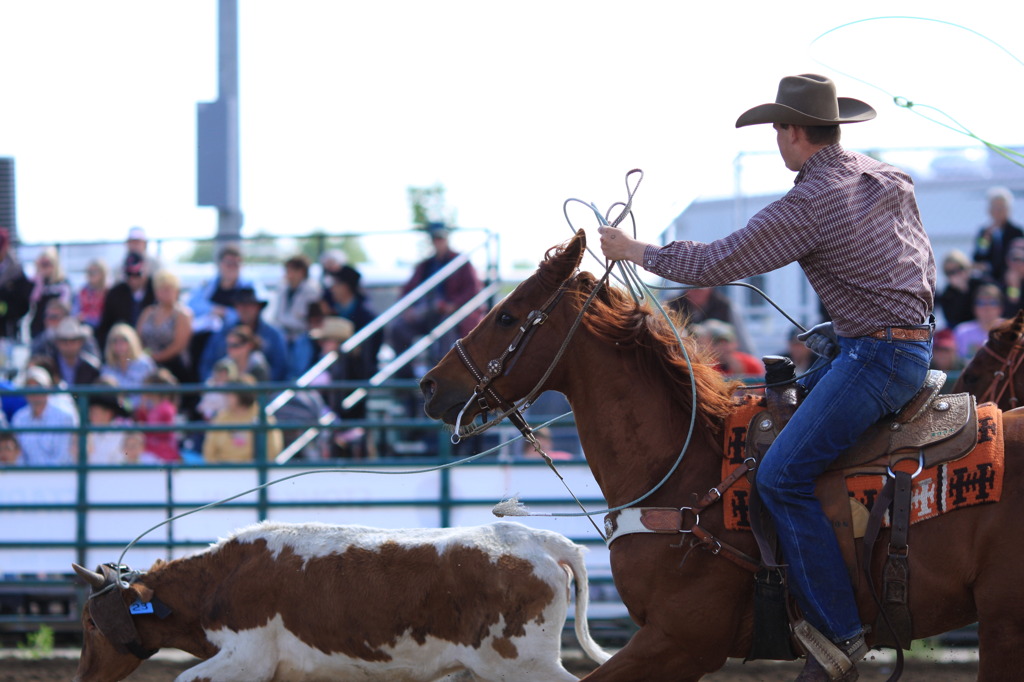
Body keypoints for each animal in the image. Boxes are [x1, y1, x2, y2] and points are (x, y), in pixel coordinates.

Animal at [75, 518, 610, 675]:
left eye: (90, 624)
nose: (84, 678)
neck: (218, 583)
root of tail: (538, 539)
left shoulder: (245, 660)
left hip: (524, 664)